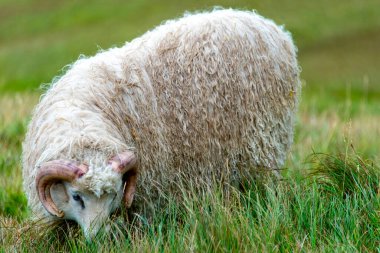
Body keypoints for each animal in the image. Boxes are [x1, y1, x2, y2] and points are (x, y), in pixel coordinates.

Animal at [21, 8, 300, 239]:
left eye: (115, 194)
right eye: (76, 196)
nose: (98, 237)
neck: (82, 120)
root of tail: (270, 27)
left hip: (264, 145)